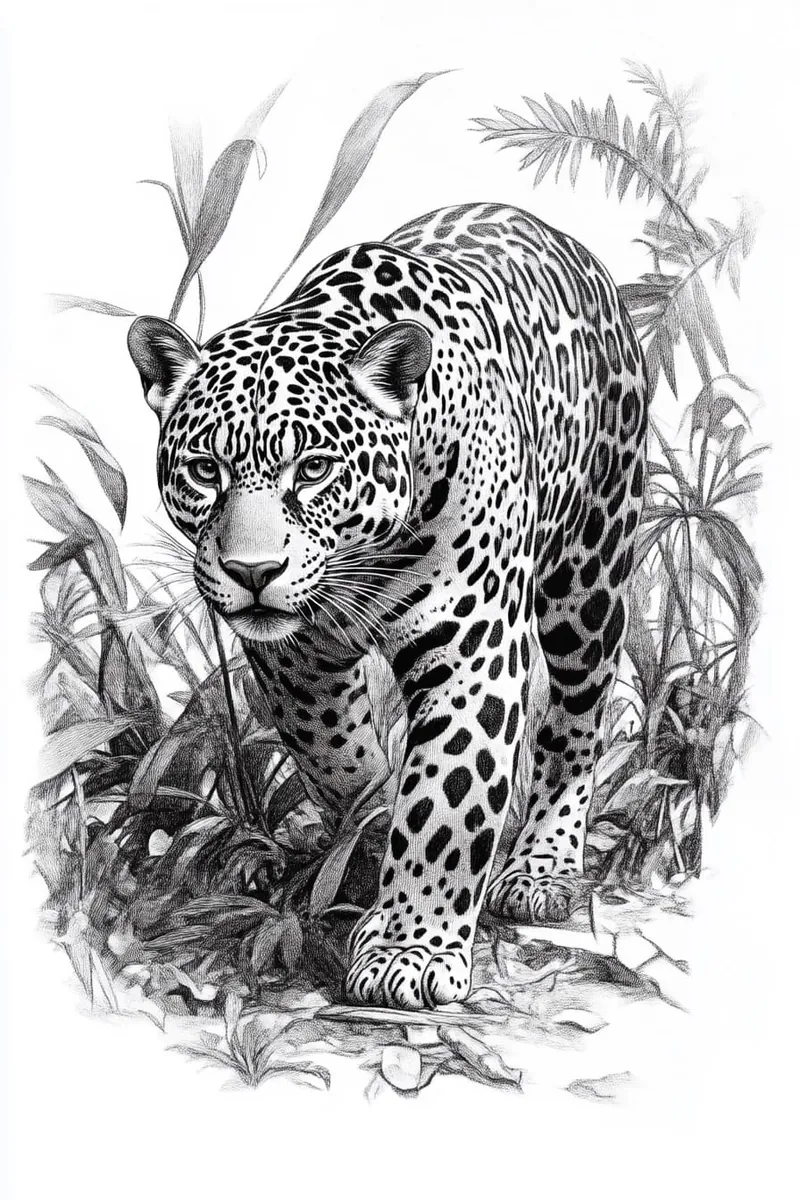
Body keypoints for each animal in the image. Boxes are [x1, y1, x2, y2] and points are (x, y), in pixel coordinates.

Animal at [128, 201, 648, 1010]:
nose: (252, 571)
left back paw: (542, 868)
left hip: (589, 579)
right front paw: (365, 838)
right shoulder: (298, 660)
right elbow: (336, 759)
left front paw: (411, 949)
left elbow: (446, 802)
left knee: (575, 723)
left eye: (313, 469)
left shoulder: (471, 654)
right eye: (206, 469)